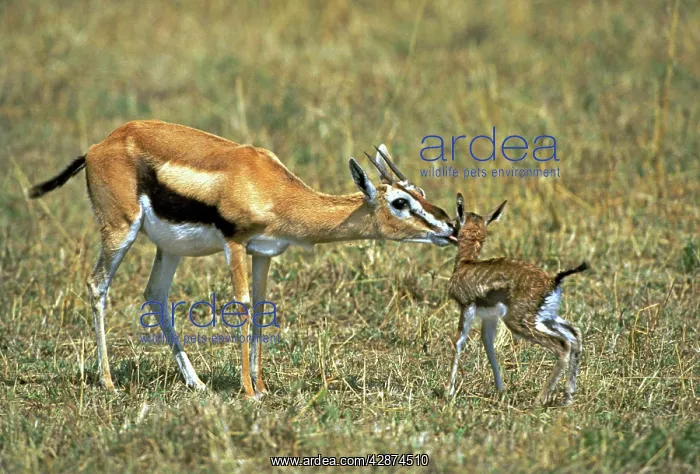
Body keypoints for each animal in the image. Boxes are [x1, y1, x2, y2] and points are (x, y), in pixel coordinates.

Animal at [28, 120, 457, 398]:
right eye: (399, 202)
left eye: (419, 192)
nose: (451, 226)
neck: (272, 188)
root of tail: (99, 146)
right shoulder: (234, 244)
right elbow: (243, 305)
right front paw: (248, 391)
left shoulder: (263, 253)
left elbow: (263, 308)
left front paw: (262, 387)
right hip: (120, 230)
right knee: (97, 285)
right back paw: (108, 382)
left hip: (169, 249)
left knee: (155, 294)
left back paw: (196, 383)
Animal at [447, 194, 589, 406]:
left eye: (456, 220)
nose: (449, 227)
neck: (465, 264)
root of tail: (552, 281)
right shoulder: (489, 317)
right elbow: (488, 344)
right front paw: (501, 389)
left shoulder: (467, 308)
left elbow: (459, 341)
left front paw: (448, 391)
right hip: (545, 318)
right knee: (574, 335)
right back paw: (568, 396)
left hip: (518, 322)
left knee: (563, 345)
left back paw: (539, 400)